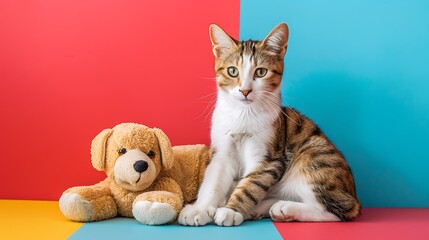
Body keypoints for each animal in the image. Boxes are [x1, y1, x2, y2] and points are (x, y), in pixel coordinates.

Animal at [176, 21, 360, 226]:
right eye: (232, 71)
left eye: (261, 72)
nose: (245, 90)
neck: (243, 115)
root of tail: (353, 192)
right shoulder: (222, 151)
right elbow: (212, 182)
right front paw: (200, 209)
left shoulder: (268, 157)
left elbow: (251, 186)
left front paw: (231, 211)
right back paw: (263, 208)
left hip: (315, 157)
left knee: (340, 209)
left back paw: (285, 208)